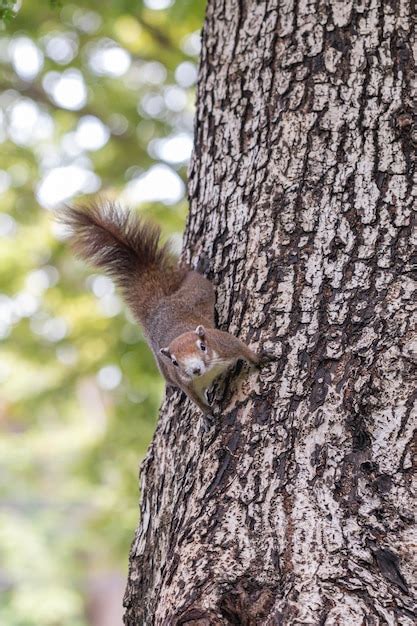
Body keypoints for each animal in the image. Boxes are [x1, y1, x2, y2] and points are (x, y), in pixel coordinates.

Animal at [60, 200, 264, 414]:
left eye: (202, 346)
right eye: (174, 362)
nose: (195, 369)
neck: (208, 371)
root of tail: (159, 305)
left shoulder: (224, 343)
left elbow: (243, 348)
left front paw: (261, 360)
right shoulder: (185, 383)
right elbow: (196, 400)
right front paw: (208, 414)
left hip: (197, 291)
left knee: (196, 279)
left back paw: (200, 266)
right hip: (164, 368)